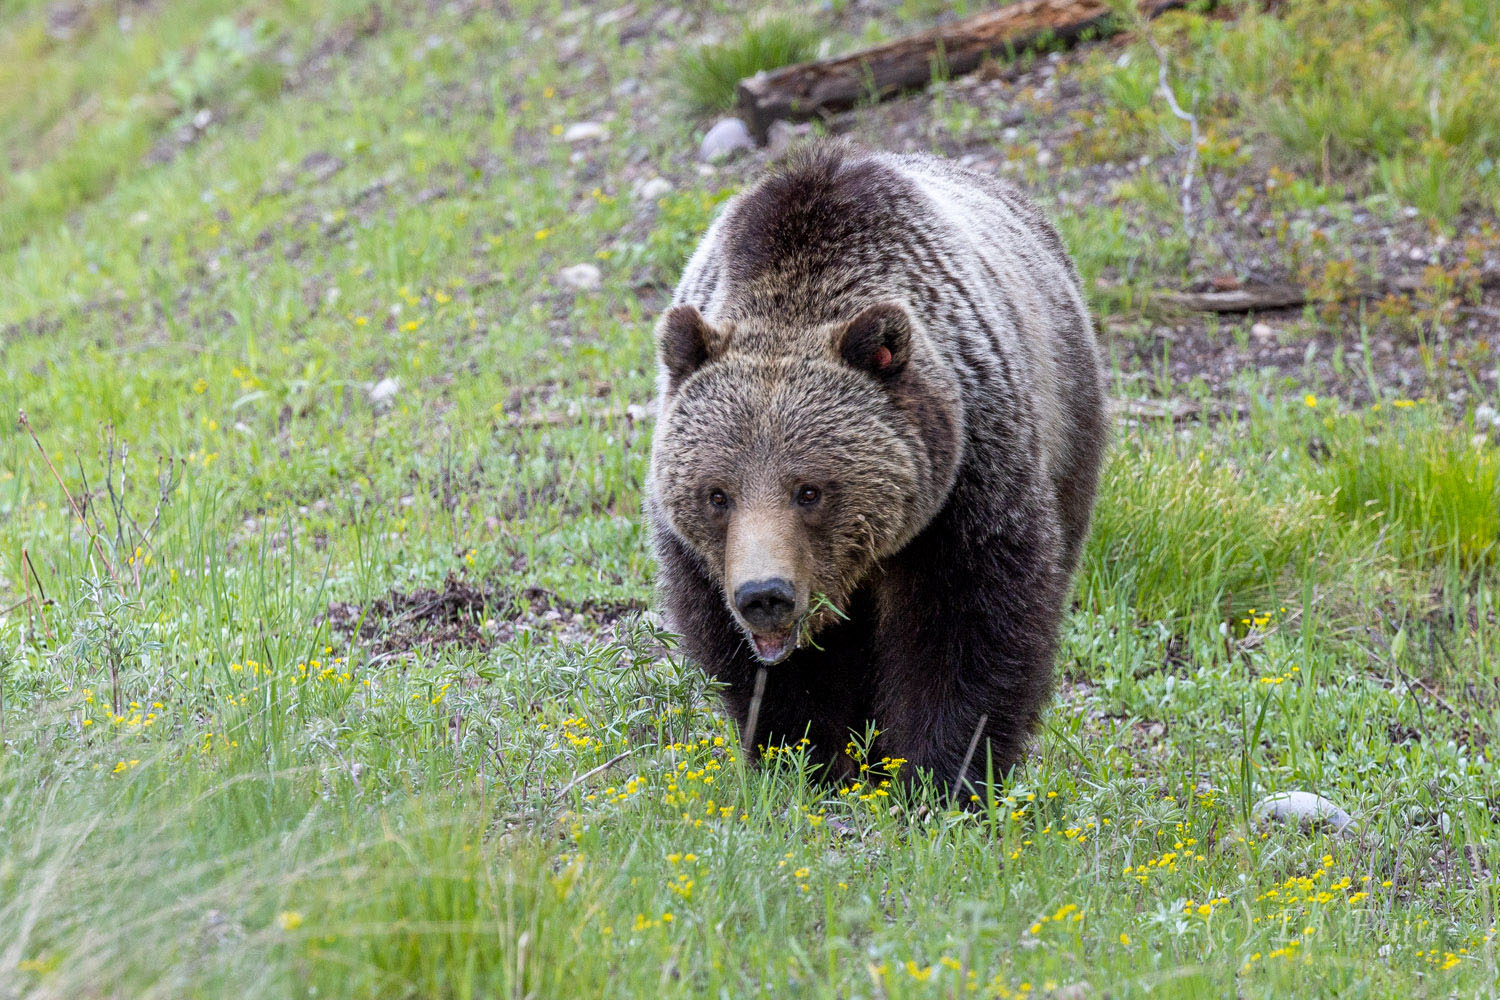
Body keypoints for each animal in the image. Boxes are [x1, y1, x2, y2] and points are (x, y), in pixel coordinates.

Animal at [642, 144, 1104, 791]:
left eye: (809, 490)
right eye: (717, 494)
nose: (765, 595)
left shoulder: (967, 485)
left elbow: (967, 629)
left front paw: (940, 775)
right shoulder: (705, 561)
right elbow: (763, 669)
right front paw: (807, 761)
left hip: (1068, 422)